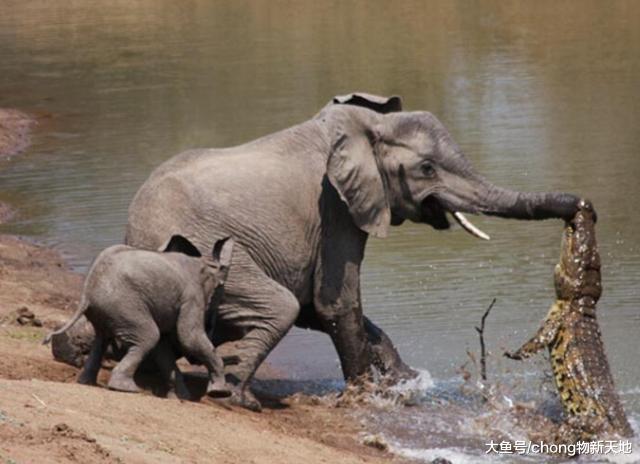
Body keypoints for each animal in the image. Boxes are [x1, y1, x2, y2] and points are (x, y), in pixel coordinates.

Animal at [44, 235, 235, 399]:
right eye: (220, 287)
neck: (203, 262)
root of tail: (87, 291)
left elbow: (163, 348)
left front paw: (181, 398)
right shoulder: (192, 297)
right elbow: (188, 338)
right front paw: (220, 393)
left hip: (108, 309)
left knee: (102, 339)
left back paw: (86, 383)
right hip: (124, 305)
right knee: (148, 336)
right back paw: (125, 388)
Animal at [125, 92, 581, 411]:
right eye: (427, 169)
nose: (581, 207)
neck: (364, 126)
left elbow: (320, 308)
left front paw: (406, 382)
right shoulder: (335, 208)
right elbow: (334, 303)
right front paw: (366, 398)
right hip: (205, 253)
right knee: (280, 306)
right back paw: (239, 398)